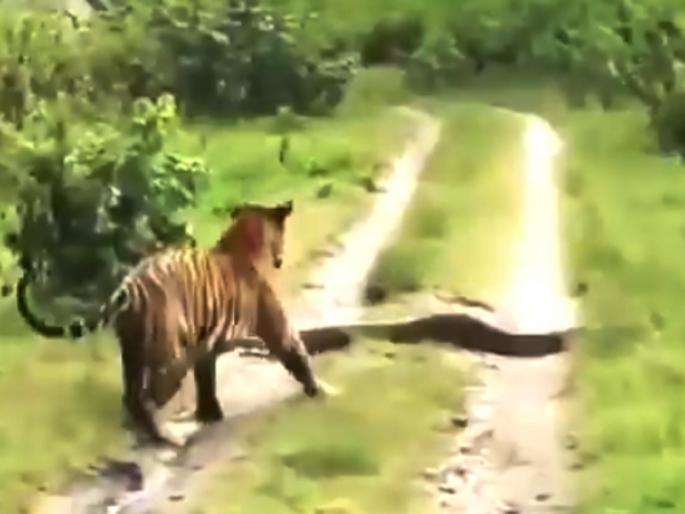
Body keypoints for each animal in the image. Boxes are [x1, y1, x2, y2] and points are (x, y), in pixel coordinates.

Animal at [16, 200, 328, 445]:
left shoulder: (205, 346)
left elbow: (206, 380)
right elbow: (294, 351)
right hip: (171, 356)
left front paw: (210, 414)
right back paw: (163, 436)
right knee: (148, 398)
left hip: (132, 351)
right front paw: (318, 390)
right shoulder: (272, 324)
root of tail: (128, 286)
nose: (280, 258)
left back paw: (137, 429)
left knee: (131, 395)